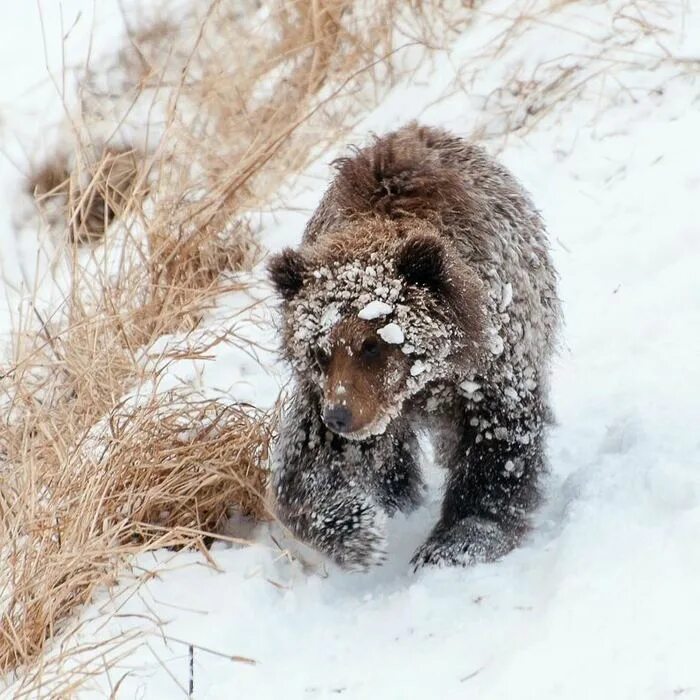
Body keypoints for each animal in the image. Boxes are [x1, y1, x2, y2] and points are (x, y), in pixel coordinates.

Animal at [266, 123, 560, 572]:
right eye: (318, 351)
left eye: (372, 344)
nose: (339, 416)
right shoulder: (329, 393)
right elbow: (302, 465)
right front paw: (357, 533)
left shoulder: (494, 365)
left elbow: (498, 444)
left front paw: (459, 541)